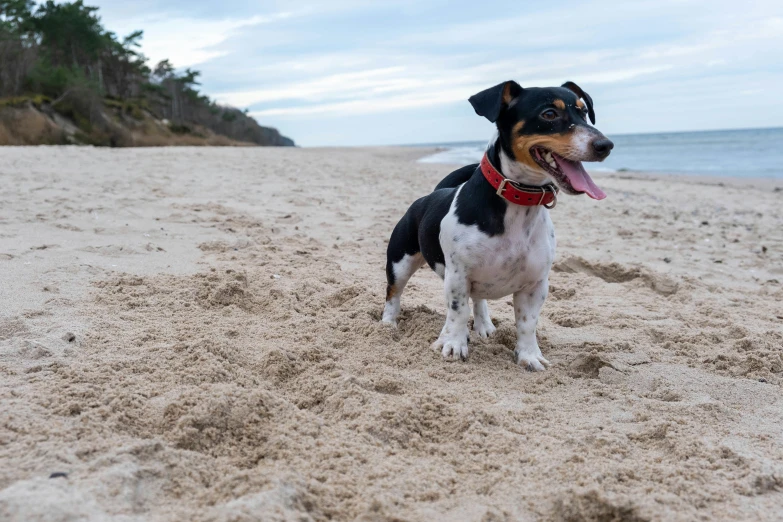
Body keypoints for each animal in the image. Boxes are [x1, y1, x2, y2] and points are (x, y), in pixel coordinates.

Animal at [382, 79, 616, 368]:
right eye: (549, 114)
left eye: (584, 112)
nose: (605, 145)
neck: (519, 204)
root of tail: (431, 195)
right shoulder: (457, 276)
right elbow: (458, 311)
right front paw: (454, 344)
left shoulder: (536, 285)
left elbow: (527, 323)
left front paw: (529, 356)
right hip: (400, 261)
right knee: (394, 293)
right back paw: (388, 325)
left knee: (478, 299)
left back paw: (483, 325)